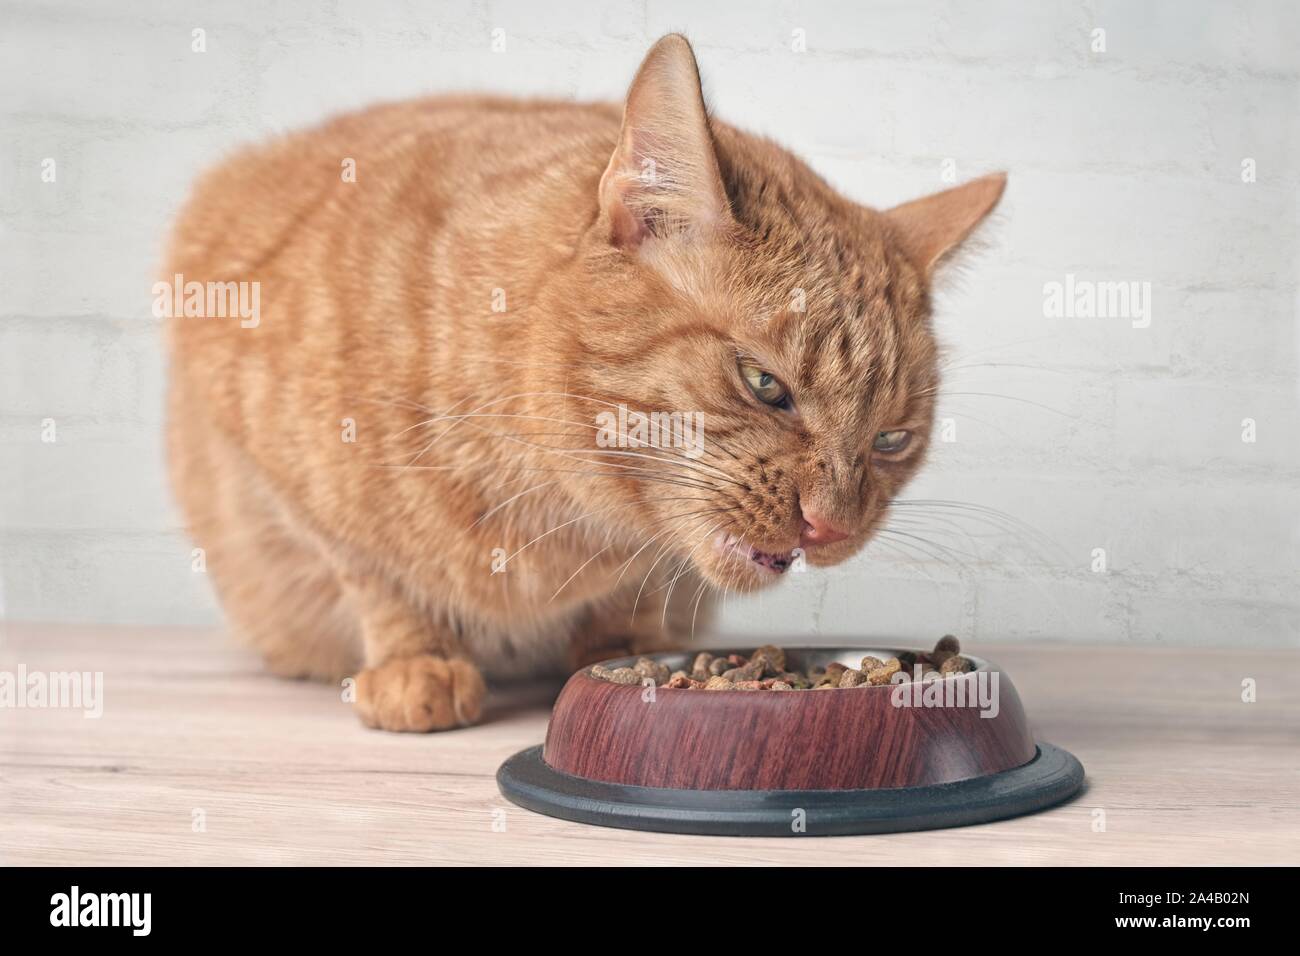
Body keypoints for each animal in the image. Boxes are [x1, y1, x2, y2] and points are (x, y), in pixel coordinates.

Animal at [167, 31, 1003, 733]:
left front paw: (623, 649)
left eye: (892, 439)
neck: (554, 516)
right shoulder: (281, 461)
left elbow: (630, 604)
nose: (829, 528)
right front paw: (416, 661)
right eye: (764, 384)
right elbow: (376, 575)